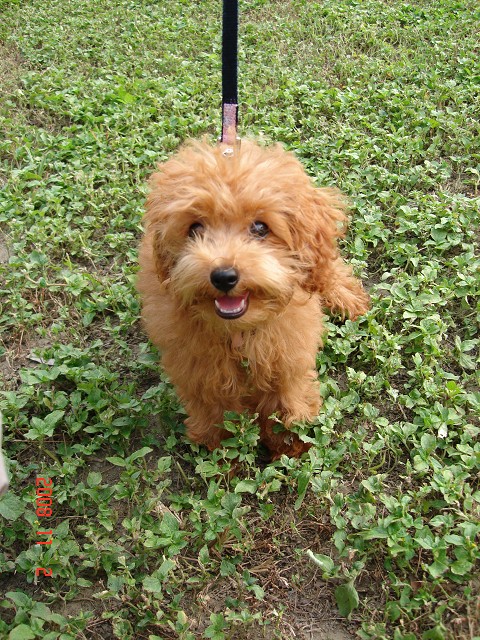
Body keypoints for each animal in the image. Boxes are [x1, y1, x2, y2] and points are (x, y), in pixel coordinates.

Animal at [136, 139, 370, 459]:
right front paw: (220, 451)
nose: (223, 276)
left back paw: (346, 297)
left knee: (327, 267)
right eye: (194, 228)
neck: (239, 331)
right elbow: (213, 407)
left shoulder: (287, 354)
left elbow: (287, 397)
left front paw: (290, 442)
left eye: (260, 228)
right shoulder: (198, 366)